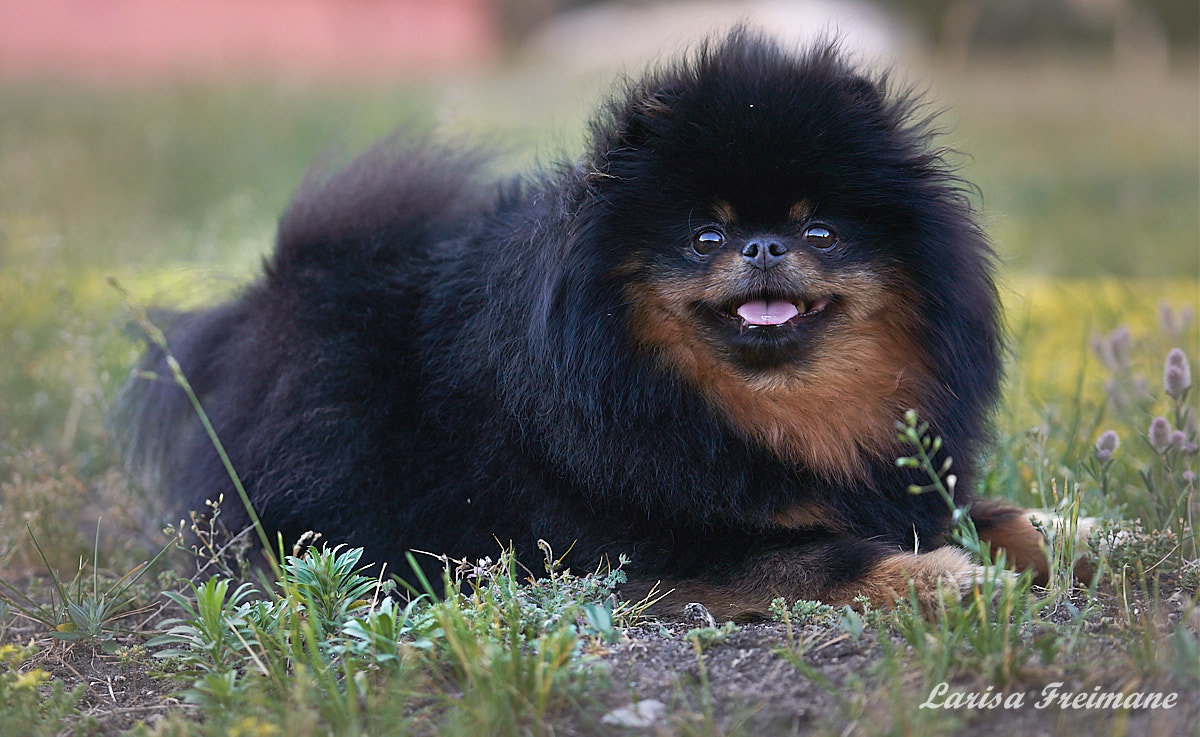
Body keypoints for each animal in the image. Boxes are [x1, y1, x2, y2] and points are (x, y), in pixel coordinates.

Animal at [124, 28, 1060, 619]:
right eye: (704, 235)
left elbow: (1004, 514)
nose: (762, 244)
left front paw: (1063, 536)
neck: (767, 412)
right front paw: (949, 579)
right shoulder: (646, 552)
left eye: (820, 230)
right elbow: (819, 556)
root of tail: (278, 290)